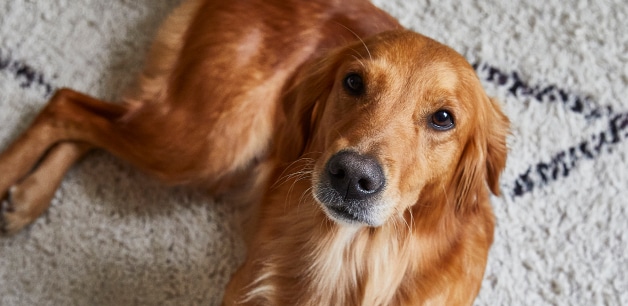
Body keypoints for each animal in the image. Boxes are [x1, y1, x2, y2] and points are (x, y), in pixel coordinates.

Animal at [0, 0, 508, 304]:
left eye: (443, 118)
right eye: (352, 82)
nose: (350, 175)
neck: (353, 256)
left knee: (88, 118)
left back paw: (29, 196)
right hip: (205, 141)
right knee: (66, 102)